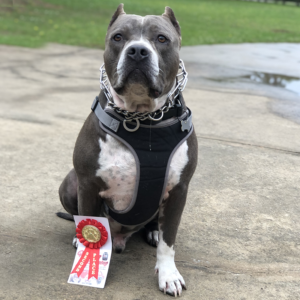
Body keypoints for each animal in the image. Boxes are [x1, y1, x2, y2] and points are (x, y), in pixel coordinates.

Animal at [59, 3, 199, 296]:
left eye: (161, 39)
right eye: (118, 37)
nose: (137, 51)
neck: (142, 119)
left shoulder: (179, 189)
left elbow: (169, 242)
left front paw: (168, 274)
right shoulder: (88, 184)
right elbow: (89, 222)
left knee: (158, 225)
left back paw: (154, 231)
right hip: (69, 182)